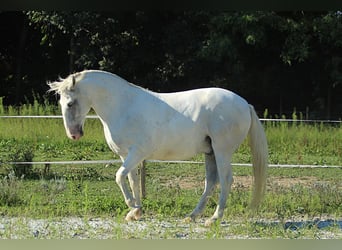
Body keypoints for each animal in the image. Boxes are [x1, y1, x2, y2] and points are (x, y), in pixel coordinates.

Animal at [48, 69, 268, 226]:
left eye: (70, 103)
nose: (74, 135)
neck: (123, 106)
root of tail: (244, 103)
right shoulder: (126, 156)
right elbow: (132, 180)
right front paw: (135, 212)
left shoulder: (137, 153)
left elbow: (119, 176)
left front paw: (132, 205)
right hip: (210, 152)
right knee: (211, 182)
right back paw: (192, 216)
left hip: (222, 151)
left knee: (226, 180)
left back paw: (213, 219)